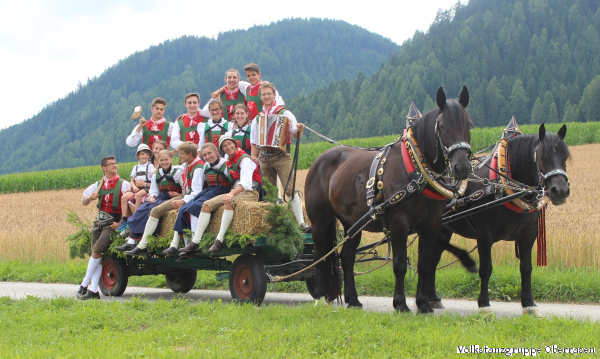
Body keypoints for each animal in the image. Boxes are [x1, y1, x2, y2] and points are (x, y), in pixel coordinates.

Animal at [308, 86, 476, 312]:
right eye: (441, 126)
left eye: (469, 124)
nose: (462, 167)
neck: (415, 170)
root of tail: (319, 160)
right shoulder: (398, 222)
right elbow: (399, 264)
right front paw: (401, 304)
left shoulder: (432, 225)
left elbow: (424, 264)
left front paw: (423, 304)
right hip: (319, 221)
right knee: (319, 255)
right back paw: (318, 295)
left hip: (353, 223)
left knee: (347, 257)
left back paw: (353, 300)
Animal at [426, 123, 572, 316]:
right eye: (542, 156)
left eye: (565, 157)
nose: (560, 191)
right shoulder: (484, 234)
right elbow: (486, 268)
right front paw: (484, 304)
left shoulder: (529, 233)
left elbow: (526, 267)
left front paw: (529, 304)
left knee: (433, 258)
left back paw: (433, 298)